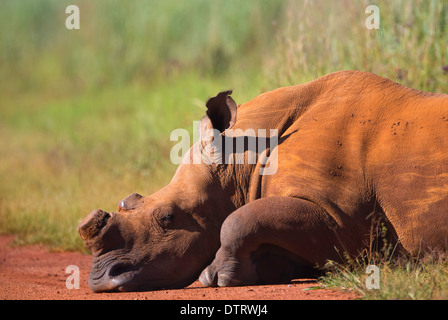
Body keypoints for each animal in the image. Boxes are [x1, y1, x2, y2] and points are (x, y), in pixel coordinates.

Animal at [79, 71, 448, 292]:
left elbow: (237, 220)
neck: (242, 161)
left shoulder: (341, 220)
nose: (100, 279)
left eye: (168, 218)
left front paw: (218, 276)